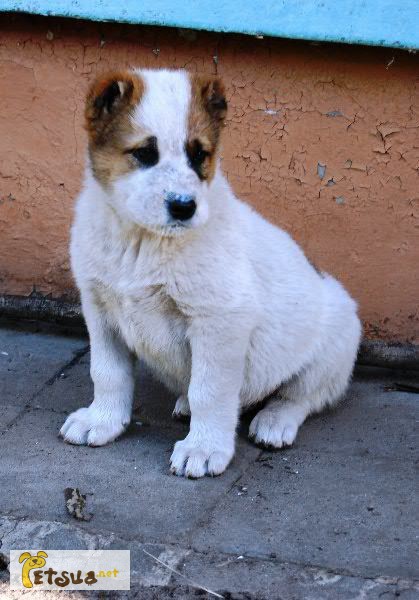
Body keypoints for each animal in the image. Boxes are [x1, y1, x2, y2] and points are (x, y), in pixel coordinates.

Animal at [60, 68, 362, 478]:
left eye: (199, 154)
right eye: (144, 154)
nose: (184, 207)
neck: (143, 240)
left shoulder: (219, 320)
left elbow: (211, 390)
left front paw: (203, 448)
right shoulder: (101, 311)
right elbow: (107, 373)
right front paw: (103, 420)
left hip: (333, 345)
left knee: (300, 397)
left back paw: (274, 421)